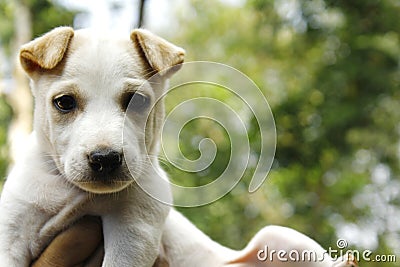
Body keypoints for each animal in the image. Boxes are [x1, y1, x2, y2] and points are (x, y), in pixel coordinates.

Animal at [0, 25, 184, 267]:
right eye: (64, 102)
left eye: (137, 100)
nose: (105, 159)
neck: (73, 190)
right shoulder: (12, 232)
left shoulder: (133, 231)